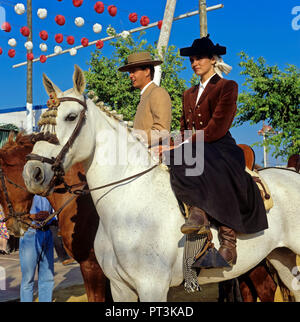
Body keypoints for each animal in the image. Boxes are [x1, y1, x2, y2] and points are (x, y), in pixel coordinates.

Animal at [22, 65, 300, 302]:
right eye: (40, 121)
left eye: (70, 117)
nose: (32, 173)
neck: (127, 207)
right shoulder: (120, 288)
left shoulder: (151, 287)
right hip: (281, 257)